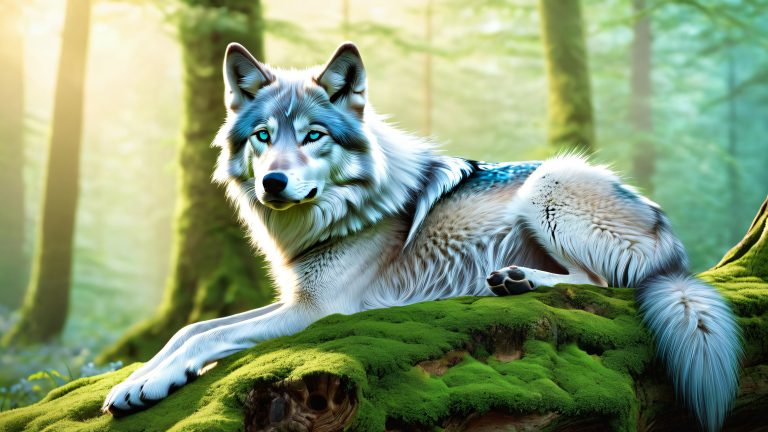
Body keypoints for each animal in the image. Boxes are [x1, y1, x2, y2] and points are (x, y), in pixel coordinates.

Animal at [103, 42, 742, 431]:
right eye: (262, 136)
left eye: (313, 136)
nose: (273, 182)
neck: (339, 213)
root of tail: (672, 244)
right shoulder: (295, 299)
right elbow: (192, 329)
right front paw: (139, 380)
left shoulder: (317, 310)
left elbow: (212, 336)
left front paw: (153, 382)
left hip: (549, 184)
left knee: (601, 284)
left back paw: (515, 282)